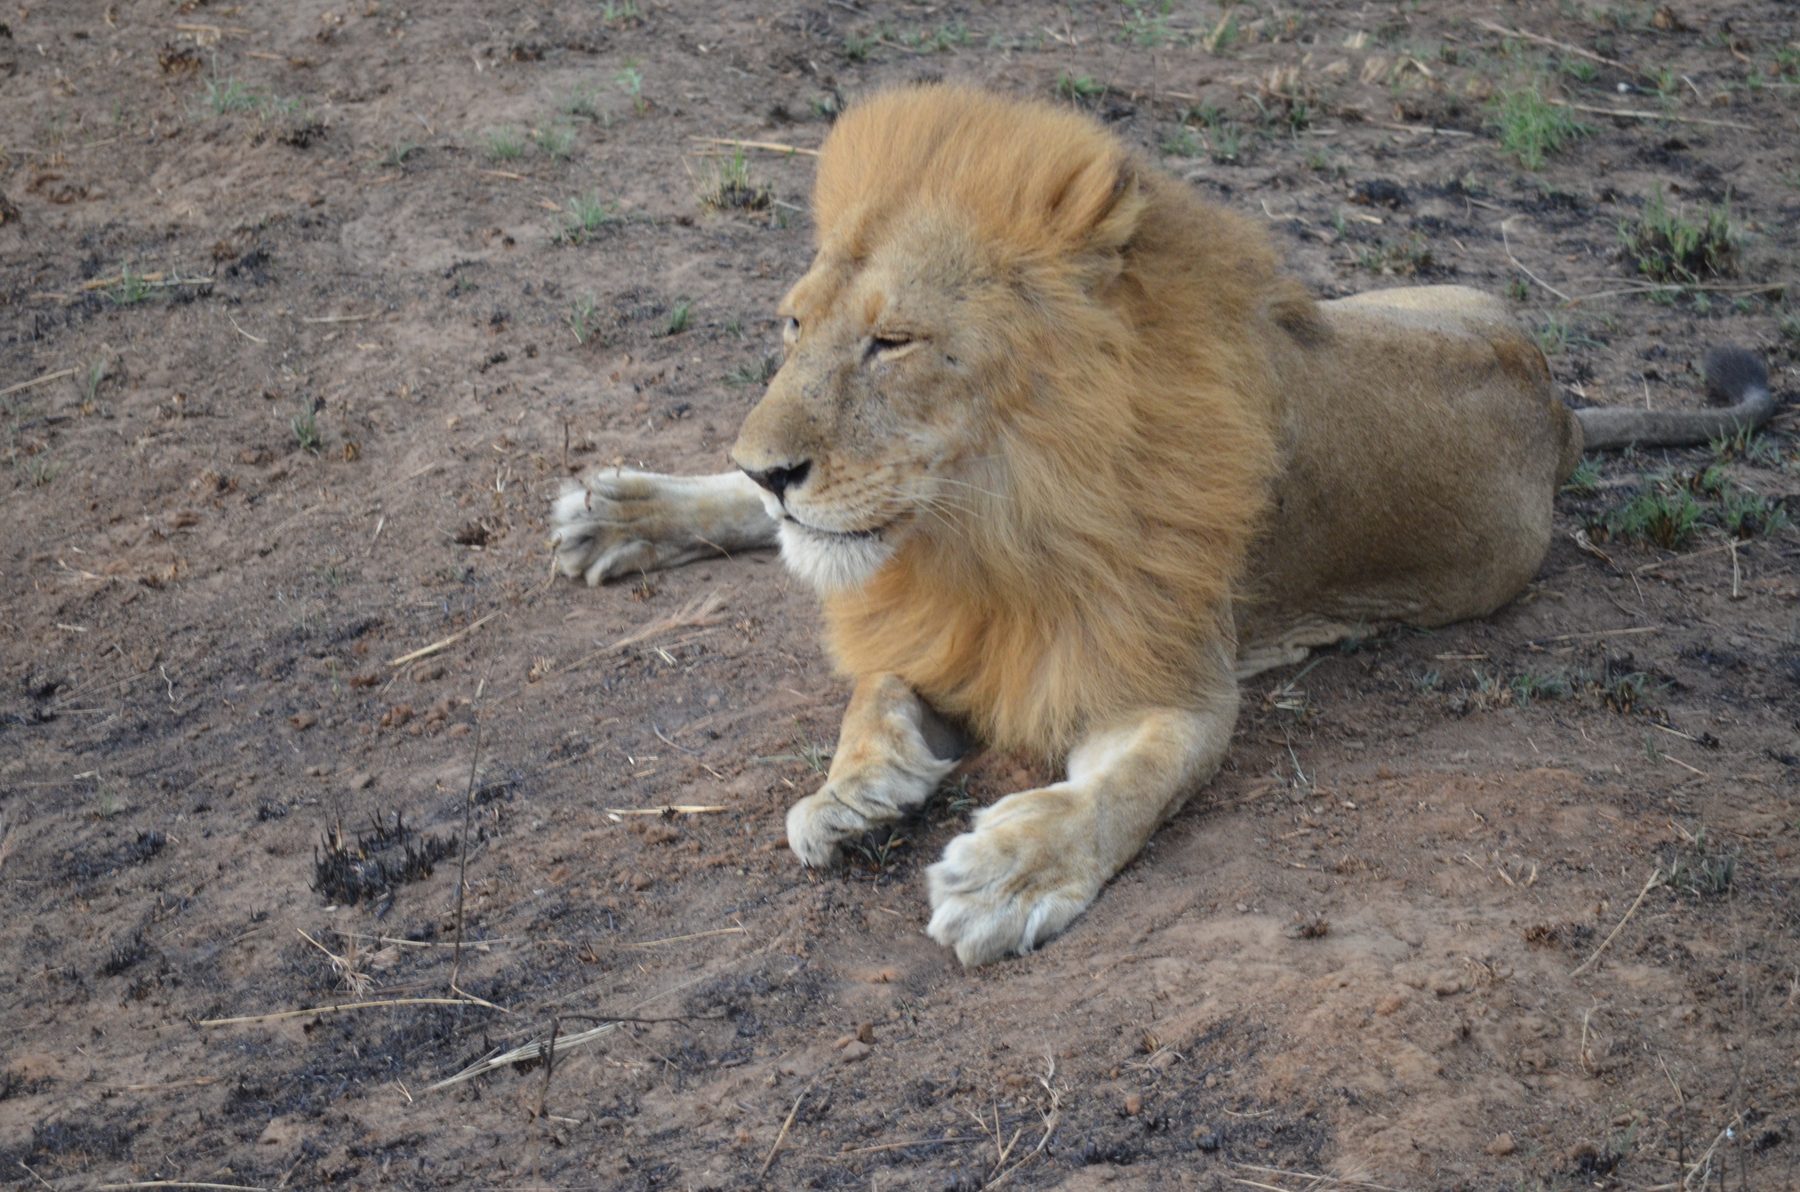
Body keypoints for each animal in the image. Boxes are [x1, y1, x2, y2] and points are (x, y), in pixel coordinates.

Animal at [550, 85, 1774, 967]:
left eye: (892, 343)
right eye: (794, 327)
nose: (772, 467)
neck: (996, 509)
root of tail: (1560, 408)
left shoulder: (1173, 690)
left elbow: (1121, 789)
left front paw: (1011, 874)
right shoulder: (947, 606)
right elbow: (876, 680)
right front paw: (853, 792)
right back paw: (616, 511)